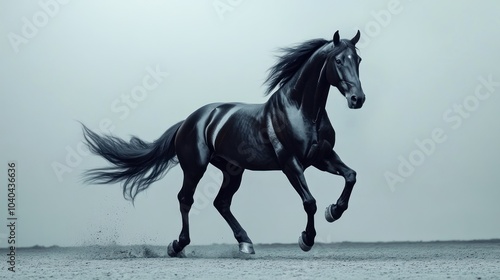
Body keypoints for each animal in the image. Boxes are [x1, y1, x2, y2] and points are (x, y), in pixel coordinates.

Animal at [81, 30, 364, 256]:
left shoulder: (321, 157)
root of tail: (189, 121)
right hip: (195, 166)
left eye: (358, 60)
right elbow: (310, 202)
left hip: (233, 170)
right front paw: (306, 239)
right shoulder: (290, 163)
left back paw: (245, 243)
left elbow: (351, 176)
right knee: (186, 199)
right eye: (338, 60)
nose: (357, 99)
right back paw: (177, 245)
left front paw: (334, 211)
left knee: (221, 202)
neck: (302, 110)